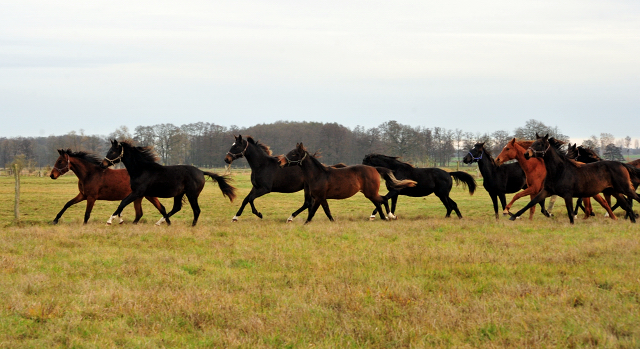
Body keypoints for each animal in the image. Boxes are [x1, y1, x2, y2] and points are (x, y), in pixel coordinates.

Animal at [101, 139, 236, 226]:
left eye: (112, 151)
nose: (103, 164)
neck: (141, 169)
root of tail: (201, 172)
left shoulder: (138, 192)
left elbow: (122, 203)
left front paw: (110, 220)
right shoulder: (140, 193)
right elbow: (128, 205)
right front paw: (119, 219)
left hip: (192, 194)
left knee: (196, 210)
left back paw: (192, 226)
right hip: (180, 194)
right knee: (176, 207)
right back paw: (160, 222)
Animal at [278, 141, 418, 223]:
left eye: (294, 153)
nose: (280, 162)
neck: (318, 174)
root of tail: (374, 169)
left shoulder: (319, 197)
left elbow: (314, 213)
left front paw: (299, 221)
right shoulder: (321, 198)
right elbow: (326, 212)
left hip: (370, 192)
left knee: (383, 199)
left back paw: (390, 216)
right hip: (370, 193)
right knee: (380, 201)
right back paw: (384, 217)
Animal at [510, 133, 640, 223]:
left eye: (540, 144)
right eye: (533, 143)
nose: (526, 154)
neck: (560, 171)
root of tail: (622, 164)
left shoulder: (568, 194)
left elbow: (571, 213)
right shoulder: (547, 191)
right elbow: (532, 202)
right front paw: (513, 216)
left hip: (625, 188)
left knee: (634, 199)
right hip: (614, 191)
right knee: (626, 204)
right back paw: (631, 220)